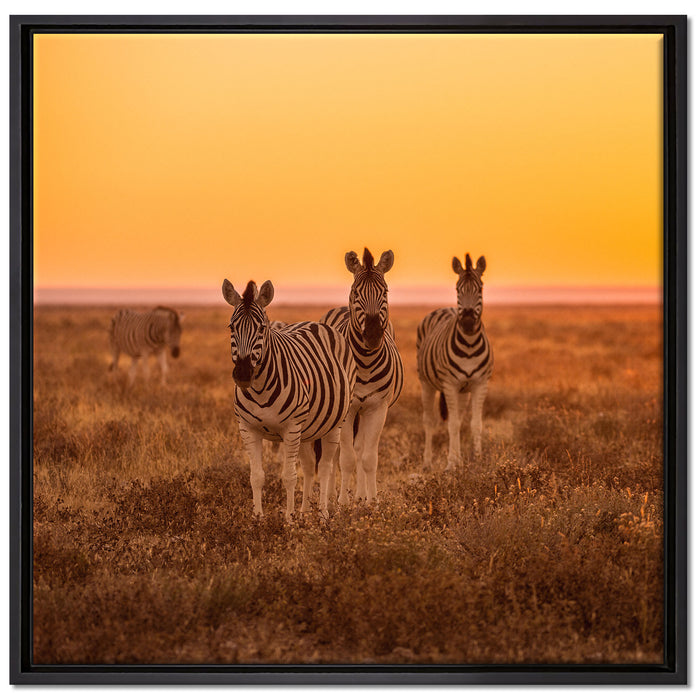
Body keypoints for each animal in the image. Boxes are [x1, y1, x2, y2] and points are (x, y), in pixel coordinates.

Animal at [222, 278, 356, 519]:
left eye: (262, 328)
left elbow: (289, 477)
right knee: (310, 465)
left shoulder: (291, 428)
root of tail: (316, 323)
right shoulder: (247, 428)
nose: (243, 374)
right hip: (307, 429)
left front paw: (288, 520)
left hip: (334, 424)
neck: (260, 389)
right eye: (231, 327)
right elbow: (256, 476)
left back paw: (323, 514)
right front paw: (258, 519)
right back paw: (305, 513)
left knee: (325, 467)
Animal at [320, 248, 404, 504]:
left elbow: (368, 457)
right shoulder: (348, 409)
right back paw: (333, 495)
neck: (365, 363)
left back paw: (359, 496)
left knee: (359, 448)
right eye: (356, 292)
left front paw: (371, 502)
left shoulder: (378, 407)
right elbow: (346, 458)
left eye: (385, 292)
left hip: (364, 410)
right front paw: (342, 504)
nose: (374, 335)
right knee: (337, 451)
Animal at [417, 253, 494, 468]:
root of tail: (445, 307)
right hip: (426, 383)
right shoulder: (450, 384)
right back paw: (427, 462)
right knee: (429, 421)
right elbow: (451, 424)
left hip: (463, 391)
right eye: (458, 289)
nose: (467, 322)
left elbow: (475, 423)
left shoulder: (479, 383)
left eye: (480, 289)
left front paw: (477, 459)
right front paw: (451, 464)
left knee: (458, 419)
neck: (469, 345)